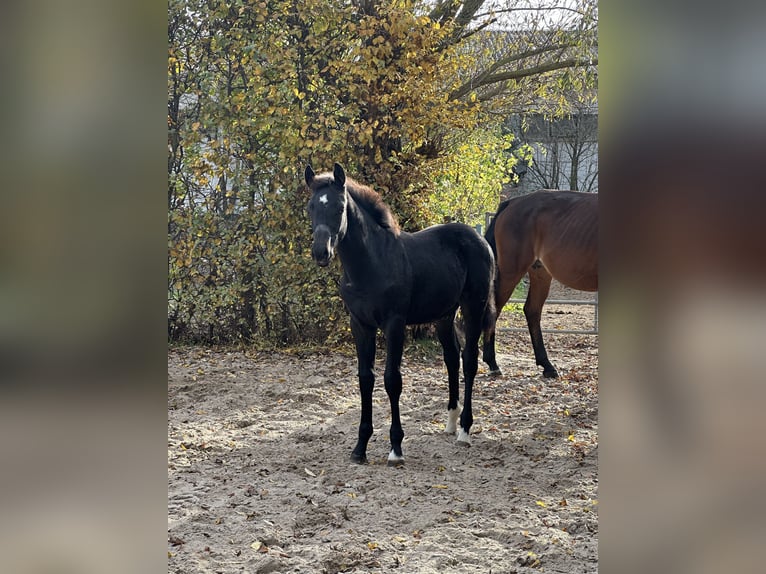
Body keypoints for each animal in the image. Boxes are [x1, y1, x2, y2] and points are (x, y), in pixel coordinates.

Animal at [305, 163, 496, 465]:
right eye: (311, 207)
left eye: (339, 207)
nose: (320, 252)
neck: (372, 264)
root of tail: (479, 238)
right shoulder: (360, 325)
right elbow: (365, 379)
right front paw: (360, 448)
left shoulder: (394, 324)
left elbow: (392, 380)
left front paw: (395, 448)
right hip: (444, 314)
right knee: (452, 358)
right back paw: (451, 422)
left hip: (473, 307)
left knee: (469, 360)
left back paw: (465, 430)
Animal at [482, 190, 597, 378]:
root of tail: (513, 202)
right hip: (511, 271)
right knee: (495, 309)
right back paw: (493, 363)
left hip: (540, 273)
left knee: (532, 310)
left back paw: (547, 366)